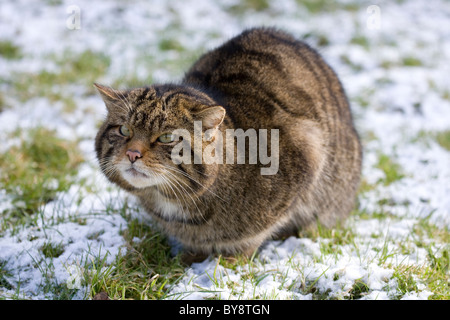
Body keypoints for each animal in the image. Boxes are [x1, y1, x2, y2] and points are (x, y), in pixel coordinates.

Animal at [95, 27, 362, 264]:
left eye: (167, 137)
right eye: (124, 130)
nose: (132, 154)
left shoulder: (308, 151)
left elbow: (256, 236)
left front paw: (230, 259)